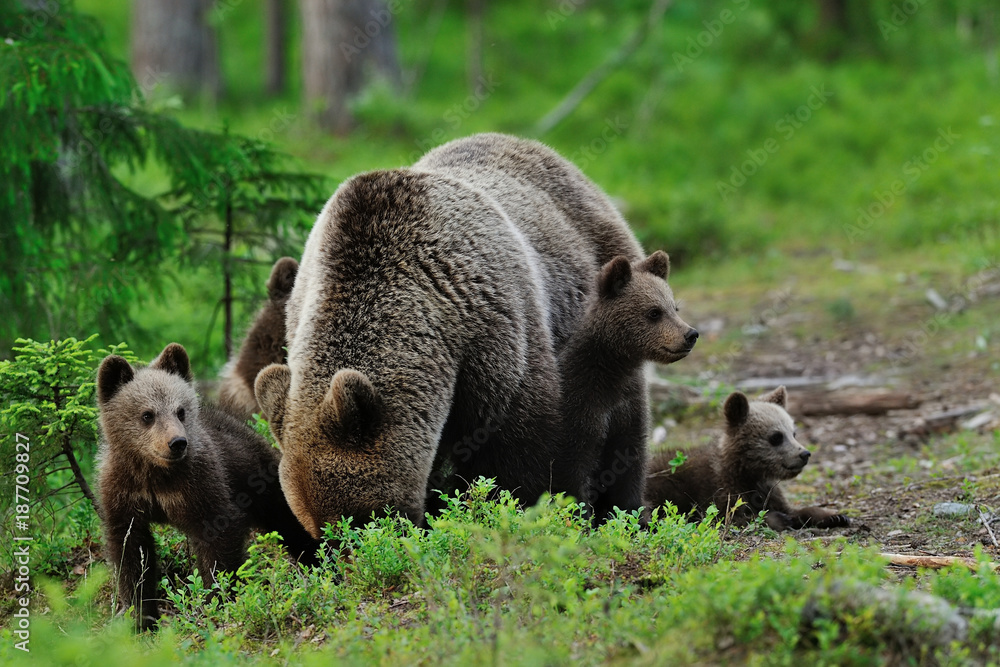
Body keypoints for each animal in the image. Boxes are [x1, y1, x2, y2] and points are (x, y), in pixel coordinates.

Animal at [96, 343, 320, 630]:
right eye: (147, 415)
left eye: (180, 411)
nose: (177, 443)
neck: (156, 474)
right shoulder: (123, 493)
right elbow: (131, 553)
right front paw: (139, 616)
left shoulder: (202, 485)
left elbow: (219, 541)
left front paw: (219, 599)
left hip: (261, 479)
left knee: (289, 521)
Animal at [255, 132, 646, 537]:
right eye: (317, 528)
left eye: (362, 518)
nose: (349, 549)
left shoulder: (494, 330)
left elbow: (519, 451)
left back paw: (622, 510)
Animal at [559, 250, 699, 522]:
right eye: (654, 312)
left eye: (674, 307)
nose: (690, 334)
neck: (613, 369)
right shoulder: (579, 402)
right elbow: (573, 468)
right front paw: (582, 517)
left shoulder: (628, 405)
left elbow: (628, 464)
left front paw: (637, 516)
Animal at [644, 386, 850, 531]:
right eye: (776, 437)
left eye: (793, 433)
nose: (804, 454)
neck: (748, 471)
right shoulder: (718, 491)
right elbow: (733, 516)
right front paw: (780, 519)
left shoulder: (768, 490)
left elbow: (794, 509)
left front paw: (836, 516)